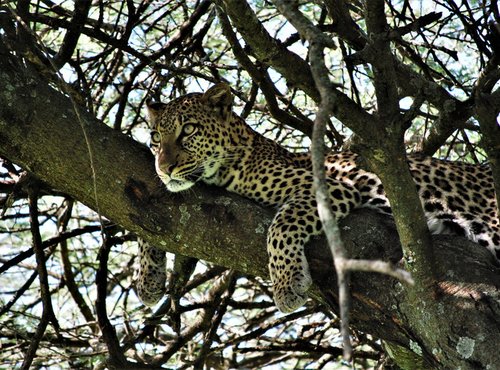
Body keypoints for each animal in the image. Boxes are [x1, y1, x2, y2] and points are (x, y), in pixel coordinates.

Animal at [137, 84, 500, 312]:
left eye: (188, 130)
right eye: (155, 138)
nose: (164, 167)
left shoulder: (331, 187)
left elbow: (280, 227)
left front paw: (286, 284)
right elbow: (144, 222)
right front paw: (147, 280)